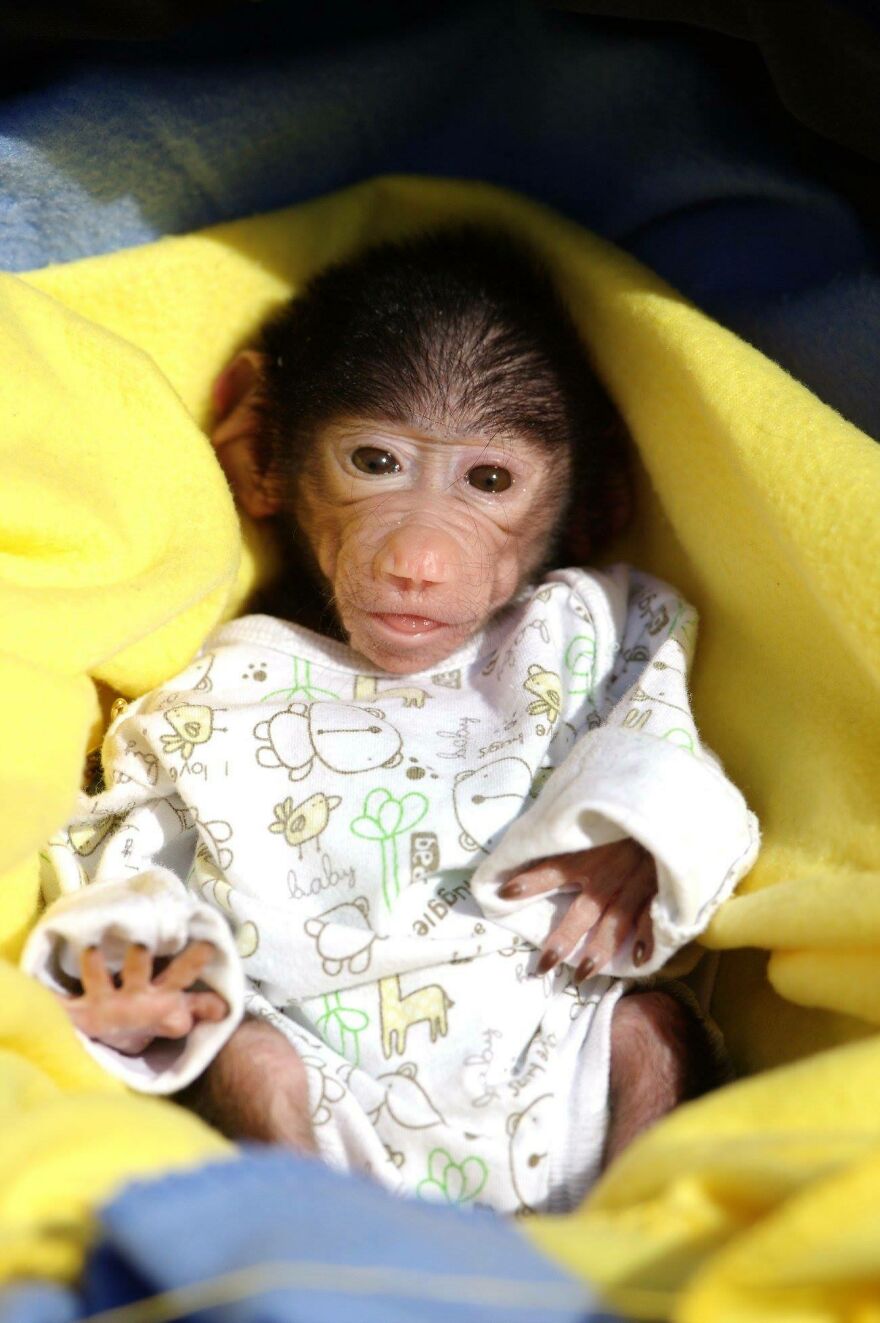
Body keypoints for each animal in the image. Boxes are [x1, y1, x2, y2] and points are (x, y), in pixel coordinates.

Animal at [36, 229, 754, 1213]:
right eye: (376, 464)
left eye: (488, 479)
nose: (418, 559)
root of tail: (464, 1191)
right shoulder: (160, 730)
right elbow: (119, 841)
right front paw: (126, 987)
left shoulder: (604, 601)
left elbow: (659, 684)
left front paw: (614, 871)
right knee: (255, 1062)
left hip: (571, 1075)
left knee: (651, 1030)